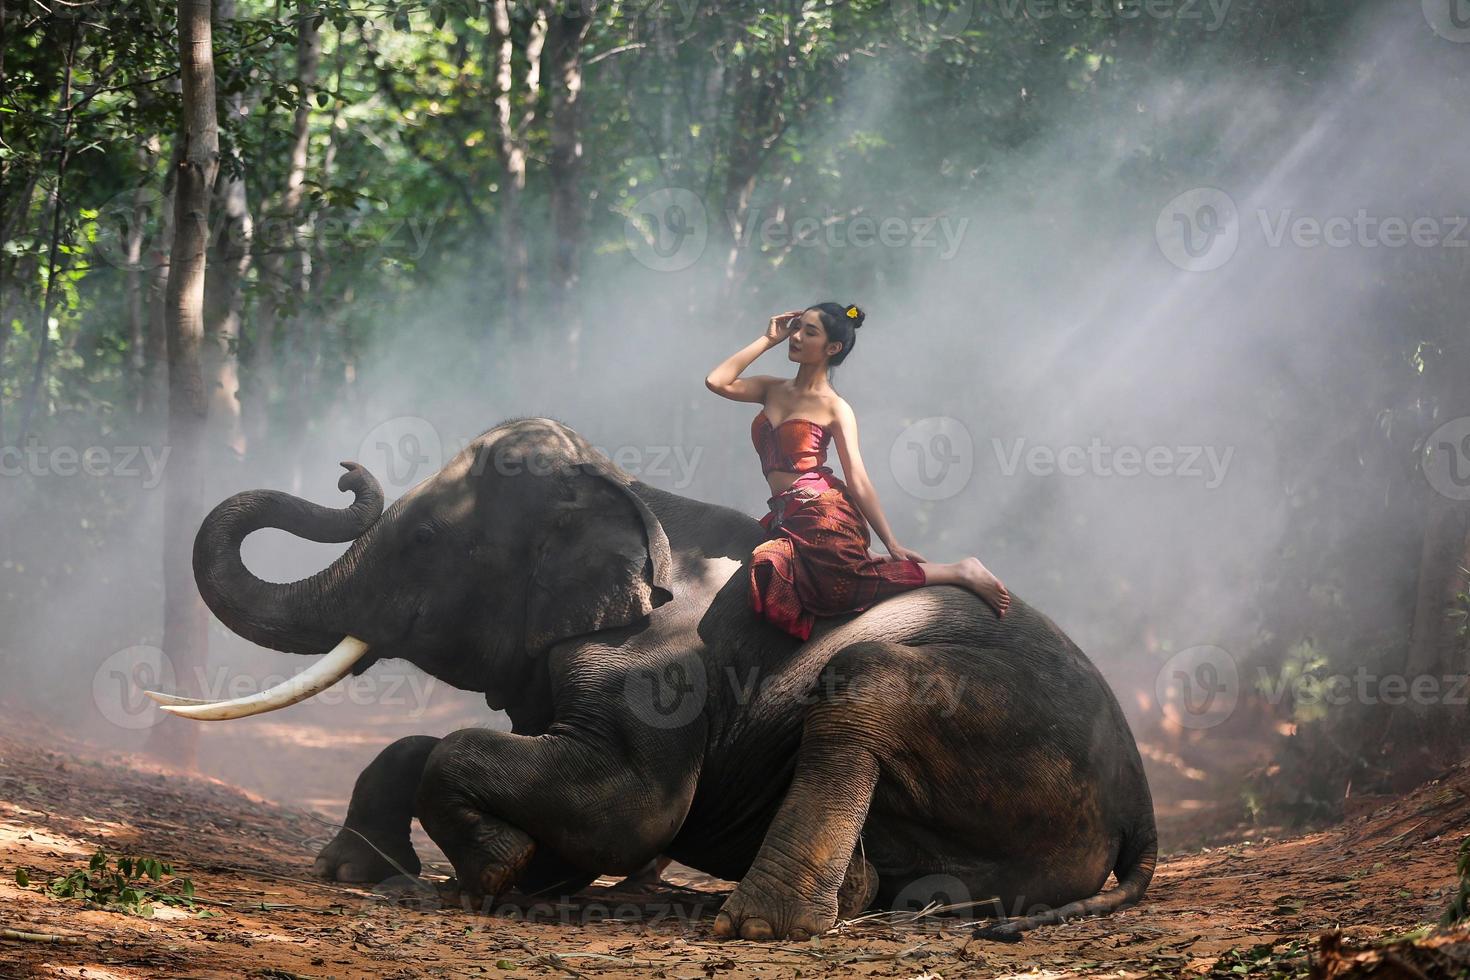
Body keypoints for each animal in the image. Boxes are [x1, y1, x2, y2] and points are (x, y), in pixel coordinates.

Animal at [155, 417, 1152, 940]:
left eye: (428, 539)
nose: (345, 473)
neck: (630, 489)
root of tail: (1138, 798)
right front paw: (360, 871)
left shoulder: (658, 667)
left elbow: (625, 806)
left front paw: (501, 873)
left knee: (861, 685)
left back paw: (765, 924)